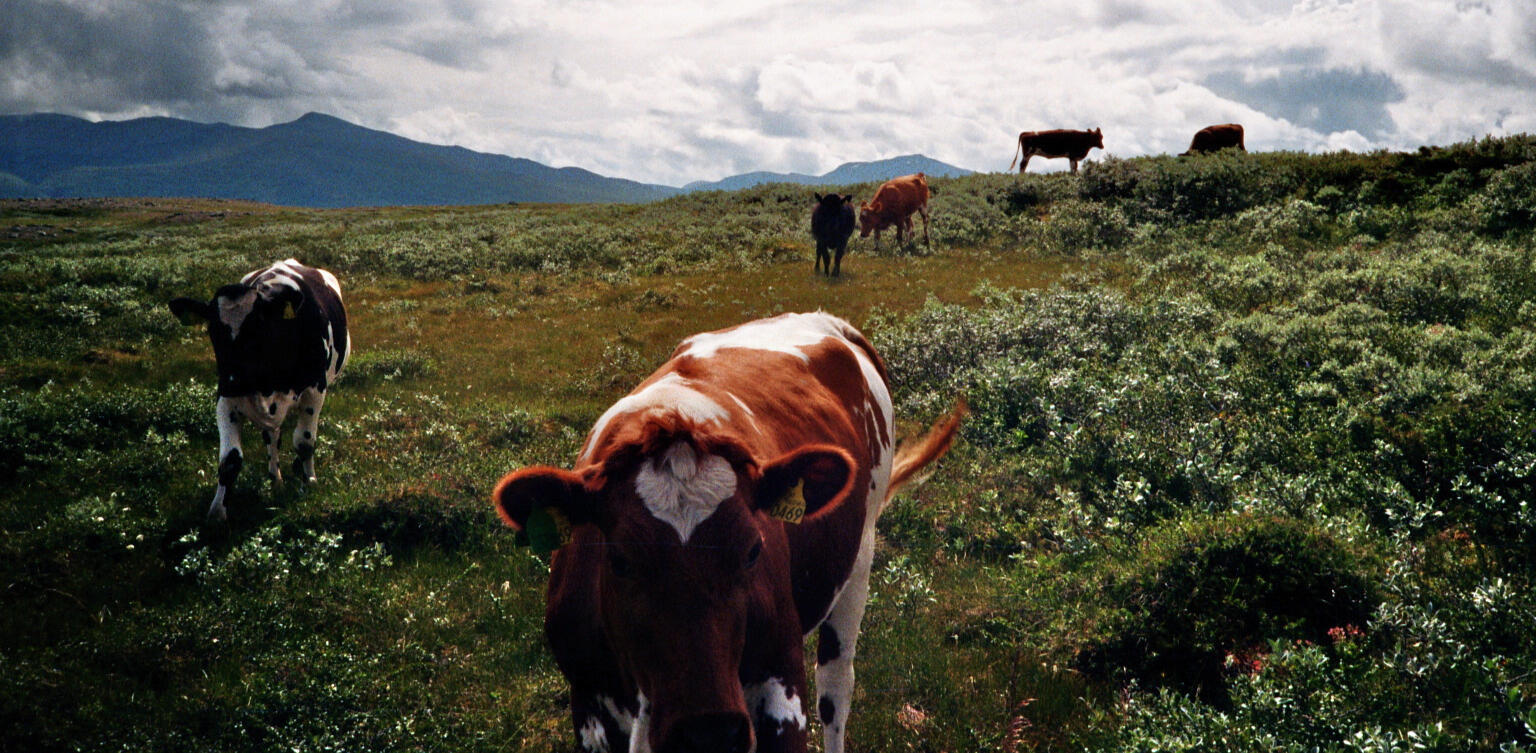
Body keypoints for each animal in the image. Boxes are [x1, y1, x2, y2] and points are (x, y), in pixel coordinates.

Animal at [168, 259, 349, 522]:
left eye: (257, 328)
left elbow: (304, 442)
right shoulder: (226, 400)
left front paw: (309, 483)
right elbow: (230, 459)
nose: (232, 382)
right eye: (213, 331)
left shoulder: (315, 390)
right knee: (271, 436)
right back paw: (276, 480)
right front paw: (217, 511)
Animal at [493, 312, 963, 753]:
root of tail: (821, 320)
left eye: (754, 550)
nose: (708, 732)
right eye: (619, 560)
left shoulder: (781, 686)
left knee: (835, 691)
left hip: (857, 565)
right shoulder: (588, 705)